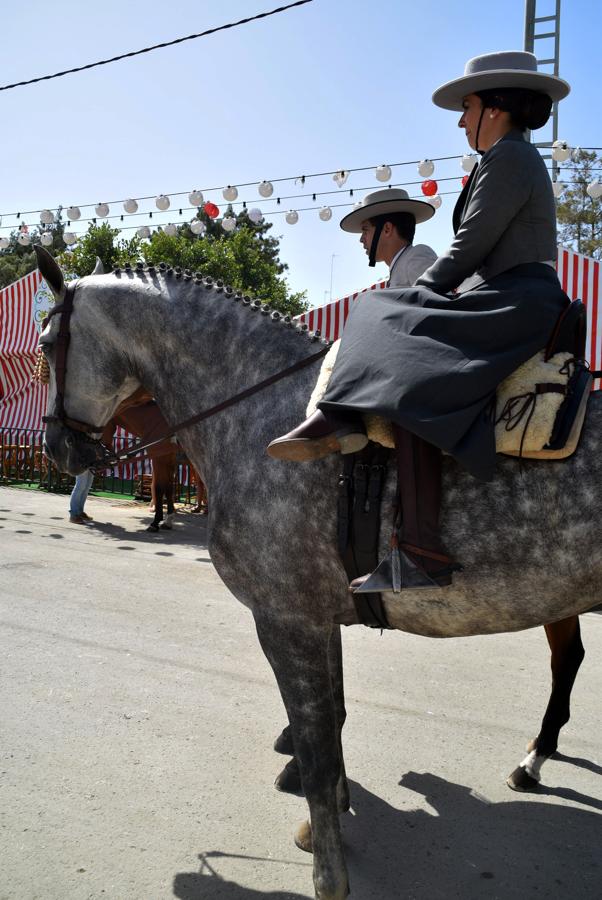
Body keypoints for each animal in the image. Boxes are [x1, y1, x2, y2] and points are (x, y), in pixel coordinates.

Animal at [38, 246, 600, 900]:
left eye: (47, 345)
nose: (58, 449)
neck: (262, 412)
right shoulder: (318, 617)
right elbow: (329, 719)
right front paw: (327, 817)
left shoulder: (286, 621)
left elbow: (316, 746)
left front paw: (328, 871)